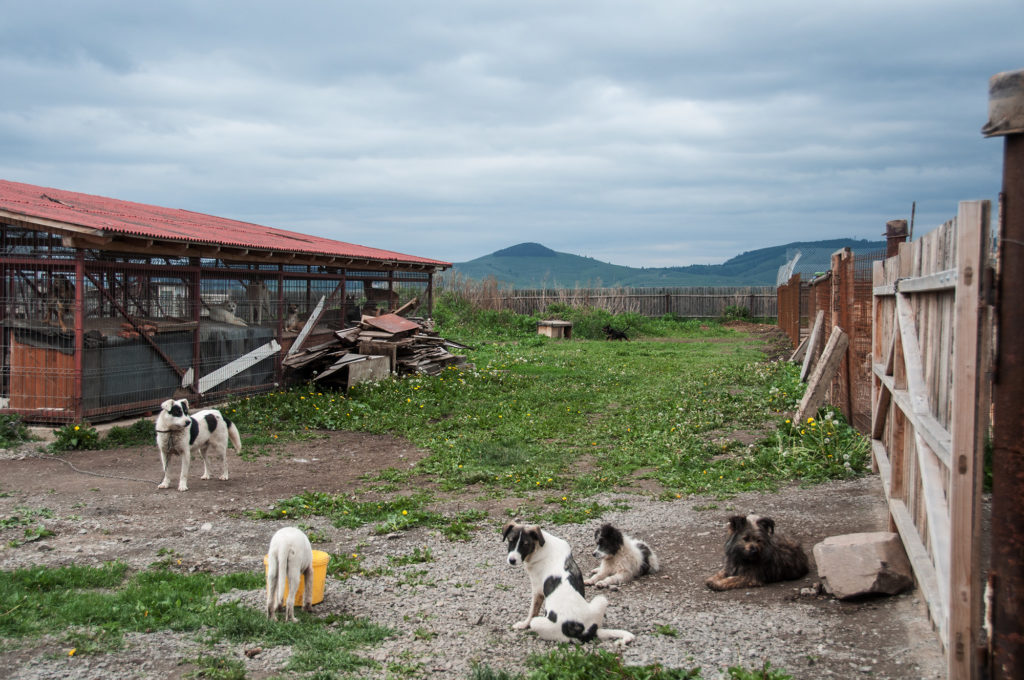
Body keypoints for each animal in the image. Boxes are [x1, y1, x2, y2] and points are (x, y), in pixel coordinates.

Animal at [501, 520, 634, 643]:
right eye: (511, 540)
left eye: (525, 544)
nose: (512, 560)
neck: (541, 547)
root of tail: (585, 630)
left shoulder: (537, 590)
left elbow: (532, 611)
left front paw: (524, 625)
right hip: (600, 600)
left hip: (539, 623)